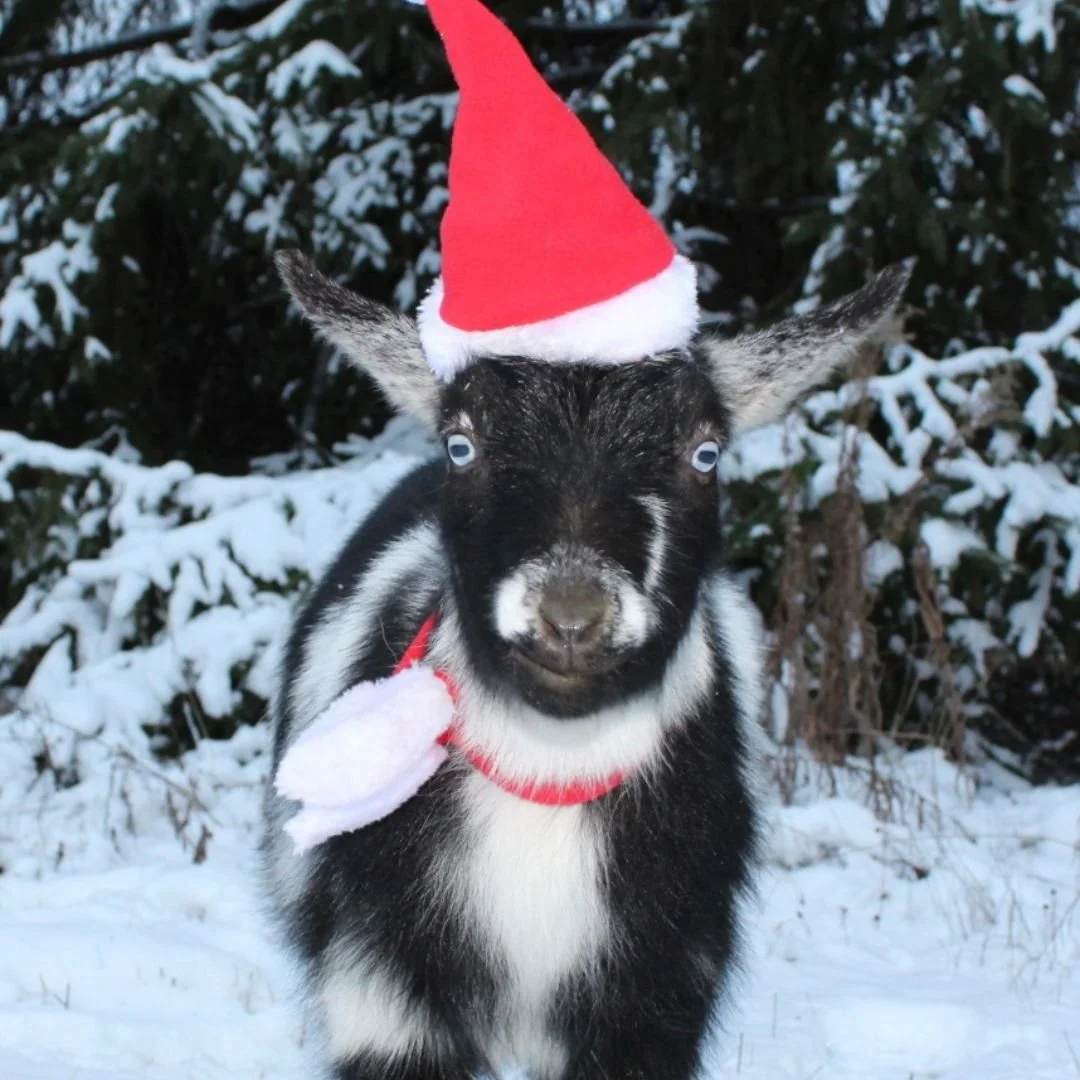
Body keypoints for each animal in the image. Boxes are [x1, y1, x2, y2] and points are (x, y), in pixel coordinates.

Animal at [263, 250, 911, 1080]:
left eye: (706, 453)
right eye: (460, 445)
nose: (571, 617)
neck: (551, 770)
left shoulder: (655, 995)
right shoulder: (381, 989)